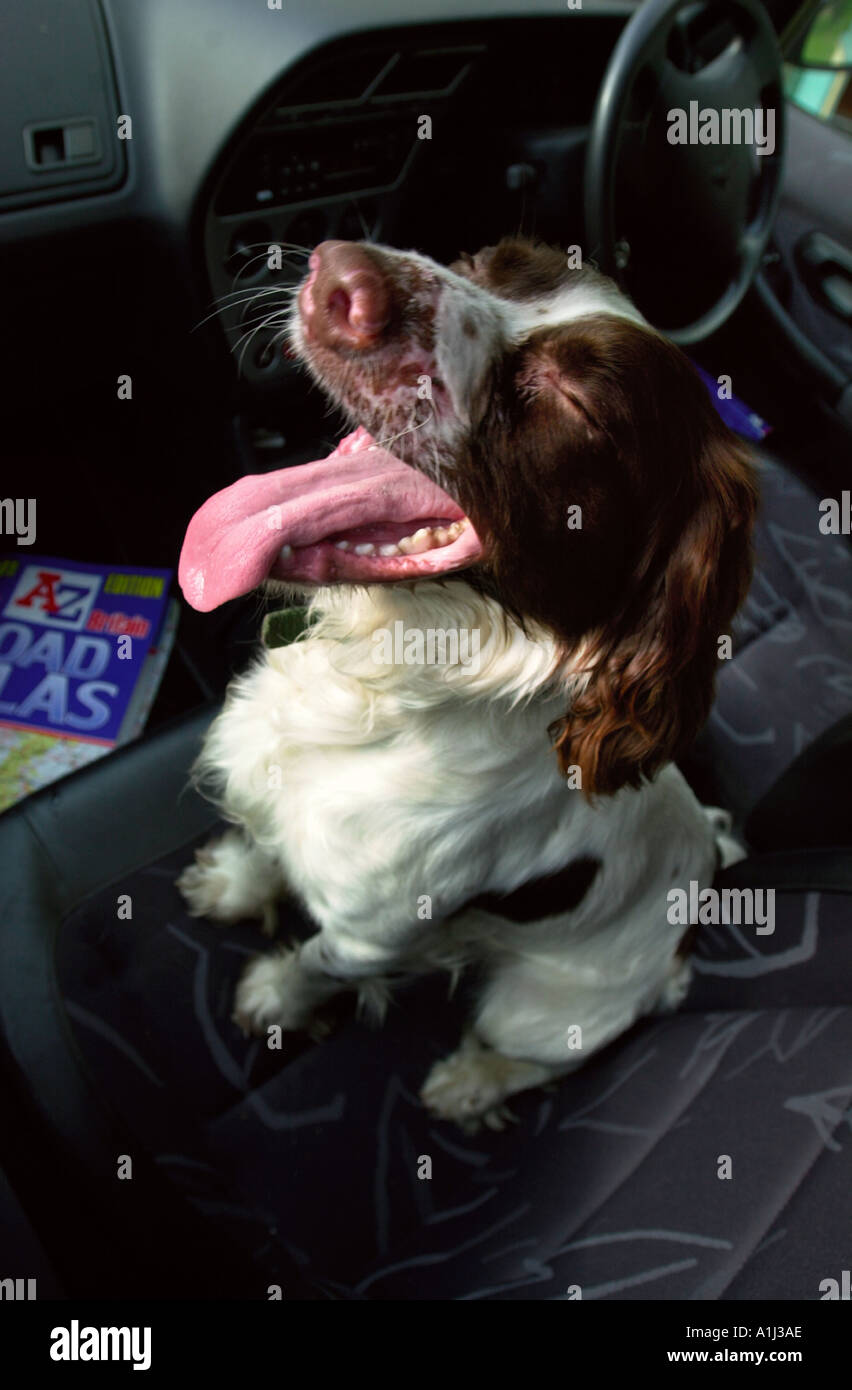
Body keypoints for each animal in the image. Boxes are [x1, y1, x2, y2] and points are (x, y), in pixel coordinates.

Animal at [175, 239, 756, 1128]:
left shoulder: (372, 935)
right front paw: (238, 880)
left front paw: (276, 995)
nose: (341, 276)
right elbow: (271, 845)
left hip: (542, 1010)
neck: (392, 682)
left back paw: (470, 1082)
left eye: (577, 404)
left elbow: (317, 959)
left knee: (543, 1054)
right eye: (482, 262)